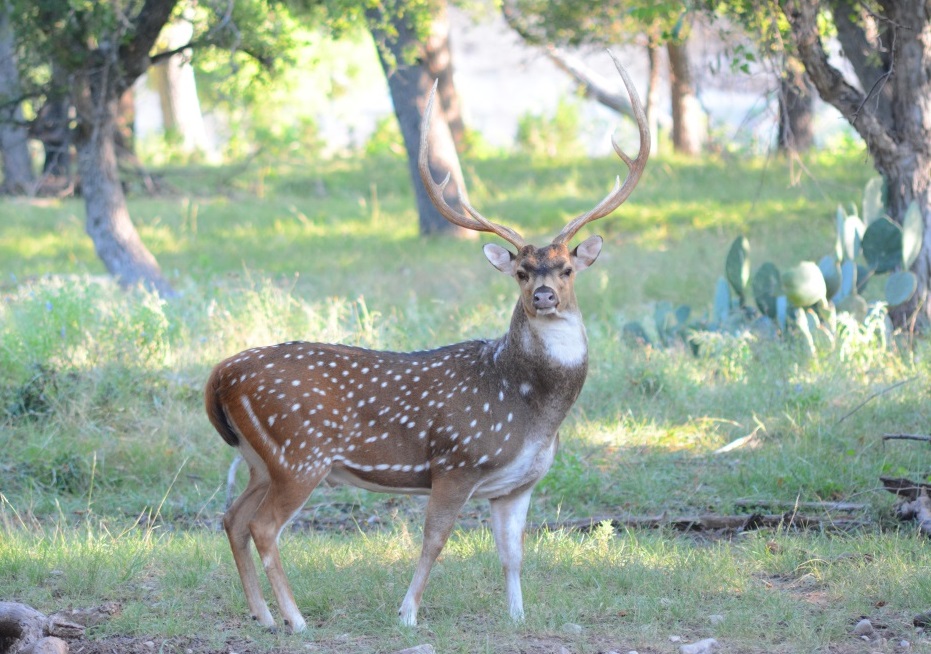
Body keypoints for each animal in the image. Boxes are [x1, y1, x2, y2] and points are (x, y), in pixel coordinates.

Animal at [204, 51, 648, 636]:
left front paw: (517, 615)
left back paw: (263, 616)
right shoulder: (456, 460)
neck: (533, 410)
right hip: (301, 453)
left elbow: (512, 553)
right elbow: (434, 541)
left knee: (232, 518)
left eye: (568, 267)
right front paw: (408, 614)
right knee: (264, 527)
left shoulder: (517, 484)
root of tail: (219, 374)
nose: (545, 295)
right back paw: (295, 620)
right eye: (521, 272)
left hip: (261, 458)